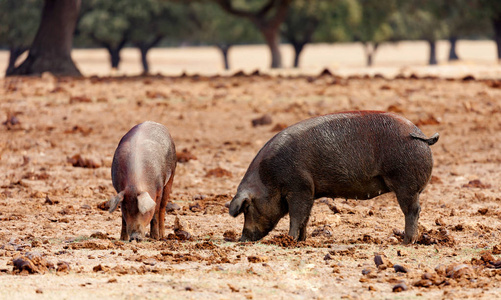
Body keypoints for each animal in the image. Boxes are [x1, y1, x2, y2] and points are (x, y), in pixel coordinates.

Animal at [229, 111, 440, 245]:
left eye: (247, 208)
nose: (242, 239)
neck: (268, 177)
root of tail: (420, 134)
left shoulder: (299, 187)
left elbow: (296, 215)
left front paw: (289, 240)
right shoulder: (309, 192)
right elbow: (305, 217)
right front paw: (302, 240)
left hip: (406, 184)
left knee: (412, 211)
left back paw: (406, 242)